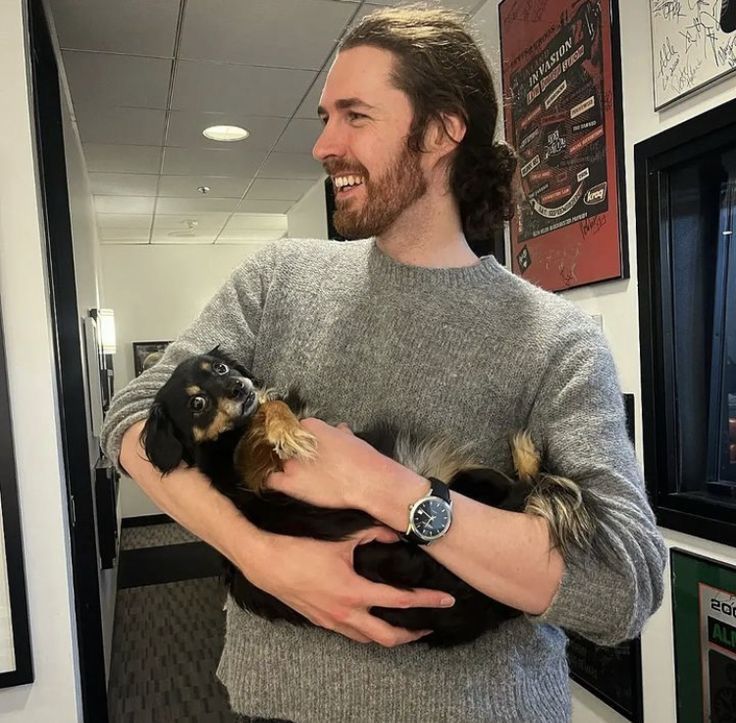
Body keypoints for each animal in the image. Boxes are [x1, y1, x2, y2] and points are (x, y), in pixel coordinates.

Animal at [144, 348, 600, 648]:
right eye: (197, 403)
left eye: (220, 368)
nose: (240, 387)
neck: (223, 443)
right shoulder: (254, 473)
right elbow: (269, 419)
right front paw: (287, 431)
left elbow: (270, 406)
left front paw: (279, 417)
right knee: (529, 490)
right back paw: (527, 456)